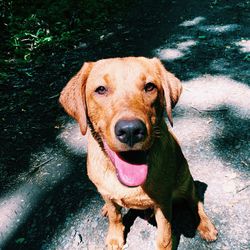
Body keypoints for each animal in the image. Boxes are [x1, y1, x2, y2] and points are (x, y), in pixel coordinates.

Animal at [59, 57, 218, 250]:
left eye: (150, 87)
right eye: (101, 89)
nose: (130, 131)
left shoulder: (163, 203)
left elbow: (164, 237)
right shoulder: (108, 194)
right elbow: (115, 215)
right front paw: (115, 237)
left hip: (185, 181)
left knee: (196, 201)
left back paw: (206, 225)